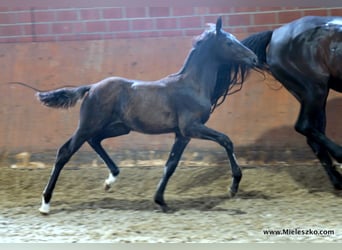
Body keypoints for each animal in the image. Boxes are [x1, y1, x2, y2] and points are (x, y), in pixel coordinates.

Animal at [16, 17, 256, 215]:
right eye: (229, 43)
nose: (254, 58)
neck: (192, 85)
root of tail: (91, 87)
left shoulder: (182, 134)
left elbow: (171, 164)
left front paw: (161, 201)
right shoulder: (191, 127)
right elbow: (226, 140)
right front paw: (233, 187)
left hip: (118, 127)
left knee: (95, 141)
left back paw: (110, 180)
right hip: (88, 125)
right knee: (65, 152)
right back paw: (46, 204)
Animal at [240, 16, 342, 189]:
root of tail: (275, 34)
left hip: (310, 96)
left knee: (313, 134)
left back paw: (338, 181)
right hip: (315, 90)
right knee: (304, 126)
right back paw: (340, 157)